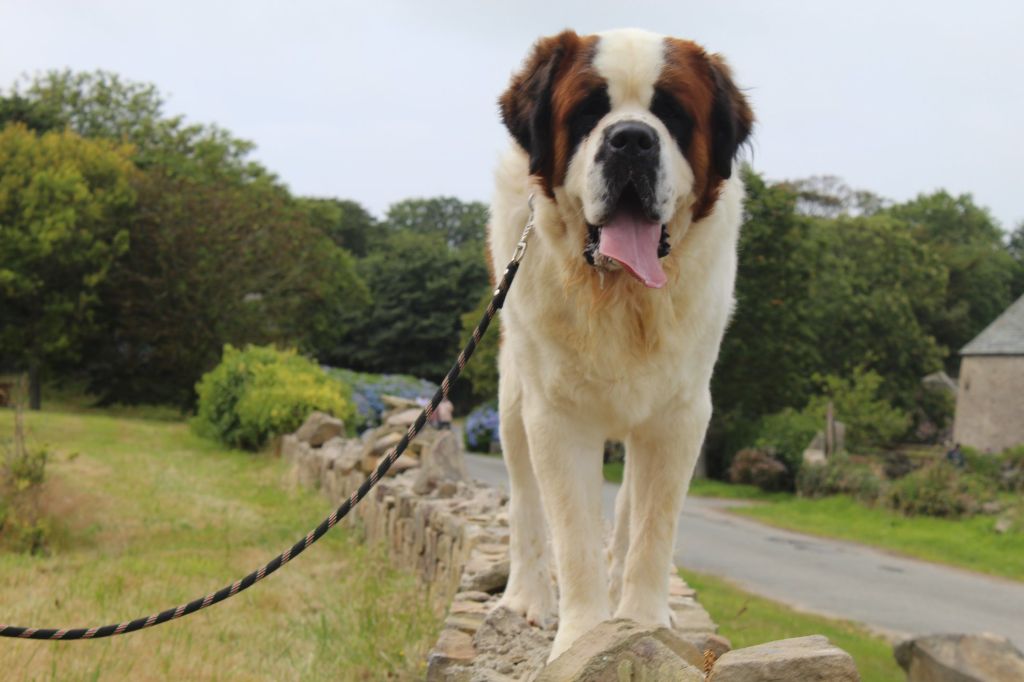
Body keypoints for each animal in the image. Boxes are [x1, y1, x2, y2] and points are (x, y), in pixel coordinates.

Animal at [487, 27, 753, 659]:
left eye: (673, 114)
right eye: (587, 111)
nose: (631, 140)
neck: (620, 296)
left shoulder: (680, 414)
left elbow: (653, 528)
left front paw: (643, 623)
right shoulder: (556, 415)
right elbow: (573, 533)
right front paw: (584, 637)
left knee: (631, 508)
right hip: (513, 400)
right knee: (526, 500)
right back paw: (527, 595)